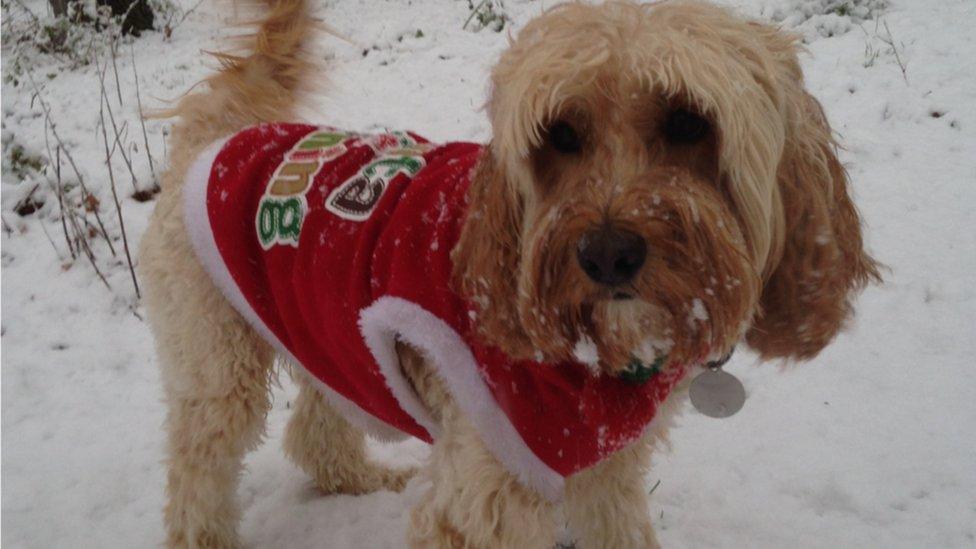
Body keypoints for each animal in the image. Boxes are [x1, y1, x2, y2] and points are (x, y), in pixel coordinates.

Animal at [141, 0, 880, 544]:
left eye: (689, 122)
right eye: (561, 134)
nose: (607, 254)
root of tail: (217, 136)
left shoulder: (606, 473)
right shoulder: (484, 493)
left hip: (327, 328)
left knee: (315, 429)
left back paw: (356, 479)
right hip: (218, 365)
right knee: (197, 474)